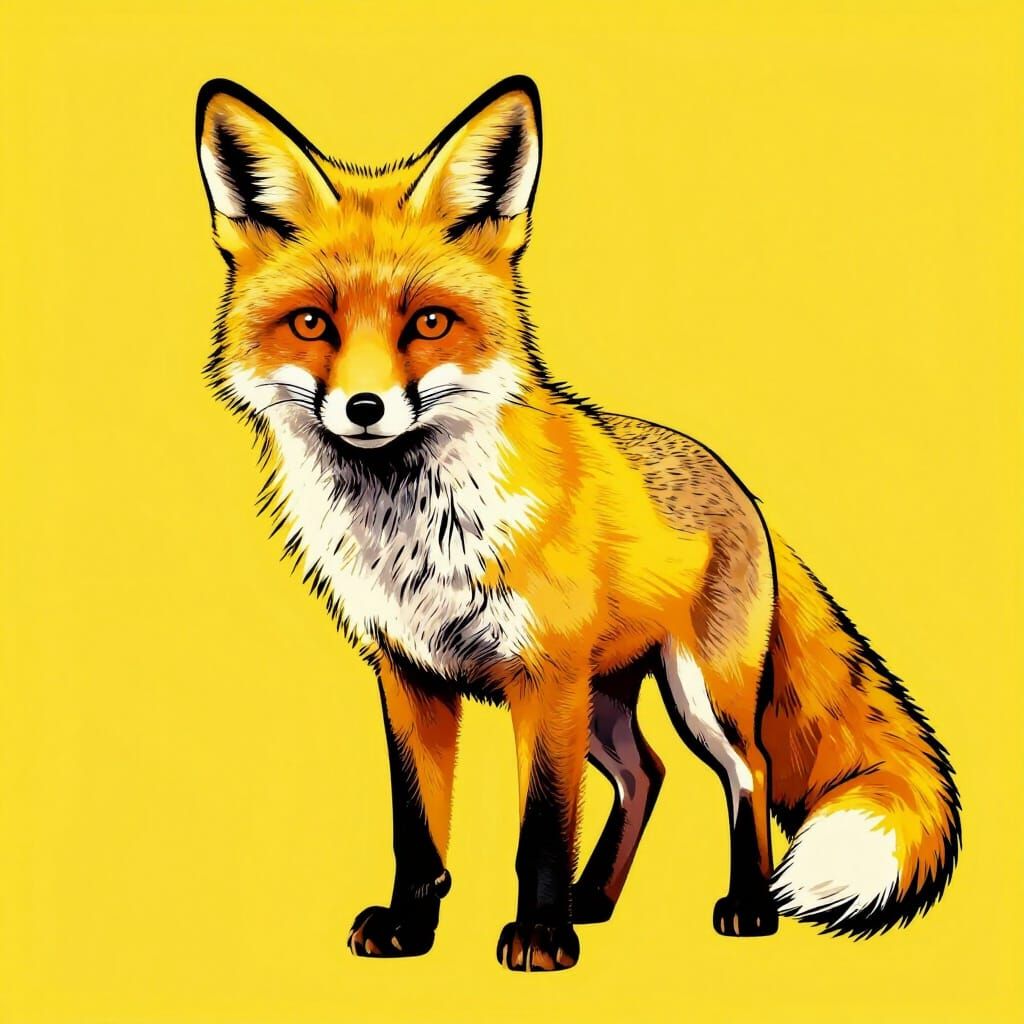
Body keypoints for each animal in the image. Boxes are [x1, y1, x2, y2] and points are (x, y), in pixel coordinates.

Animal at [195, 75, 960, 971]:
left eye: (429, 323)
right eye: (313, 323)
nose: (365, 408)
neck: (416, 534)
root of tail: (740, 487)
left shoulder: (546, 674)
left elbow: (543, 825)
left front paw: (540, 936)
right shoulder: (408, 671)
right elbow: (418, 830)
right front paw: (412, 926)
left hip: (695, 691)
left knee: (749, 770)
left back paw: (746, 905)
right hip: (606, 703)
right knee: (646, 773)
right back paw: (597, 897)